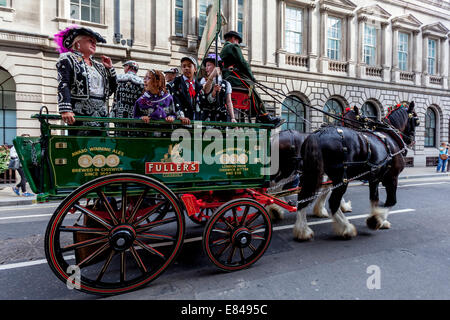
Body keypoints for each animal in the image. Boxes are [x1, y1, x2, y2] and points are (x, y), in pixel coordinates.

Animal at [294, 100, 420, 240]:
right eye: (417, 121)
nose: (411, 141)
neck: (390, 137)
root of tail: (318, 134)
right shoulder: (392, 177)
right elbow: (391, 201)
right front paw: (376, 220)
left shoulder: (374, 178)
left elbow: (374, 199)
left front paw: (377, 218)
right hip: (341, 177)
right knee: (333, 202)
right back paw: (346, 228)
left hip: (311, 173)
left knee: (303, 197)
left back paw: (302, 230)